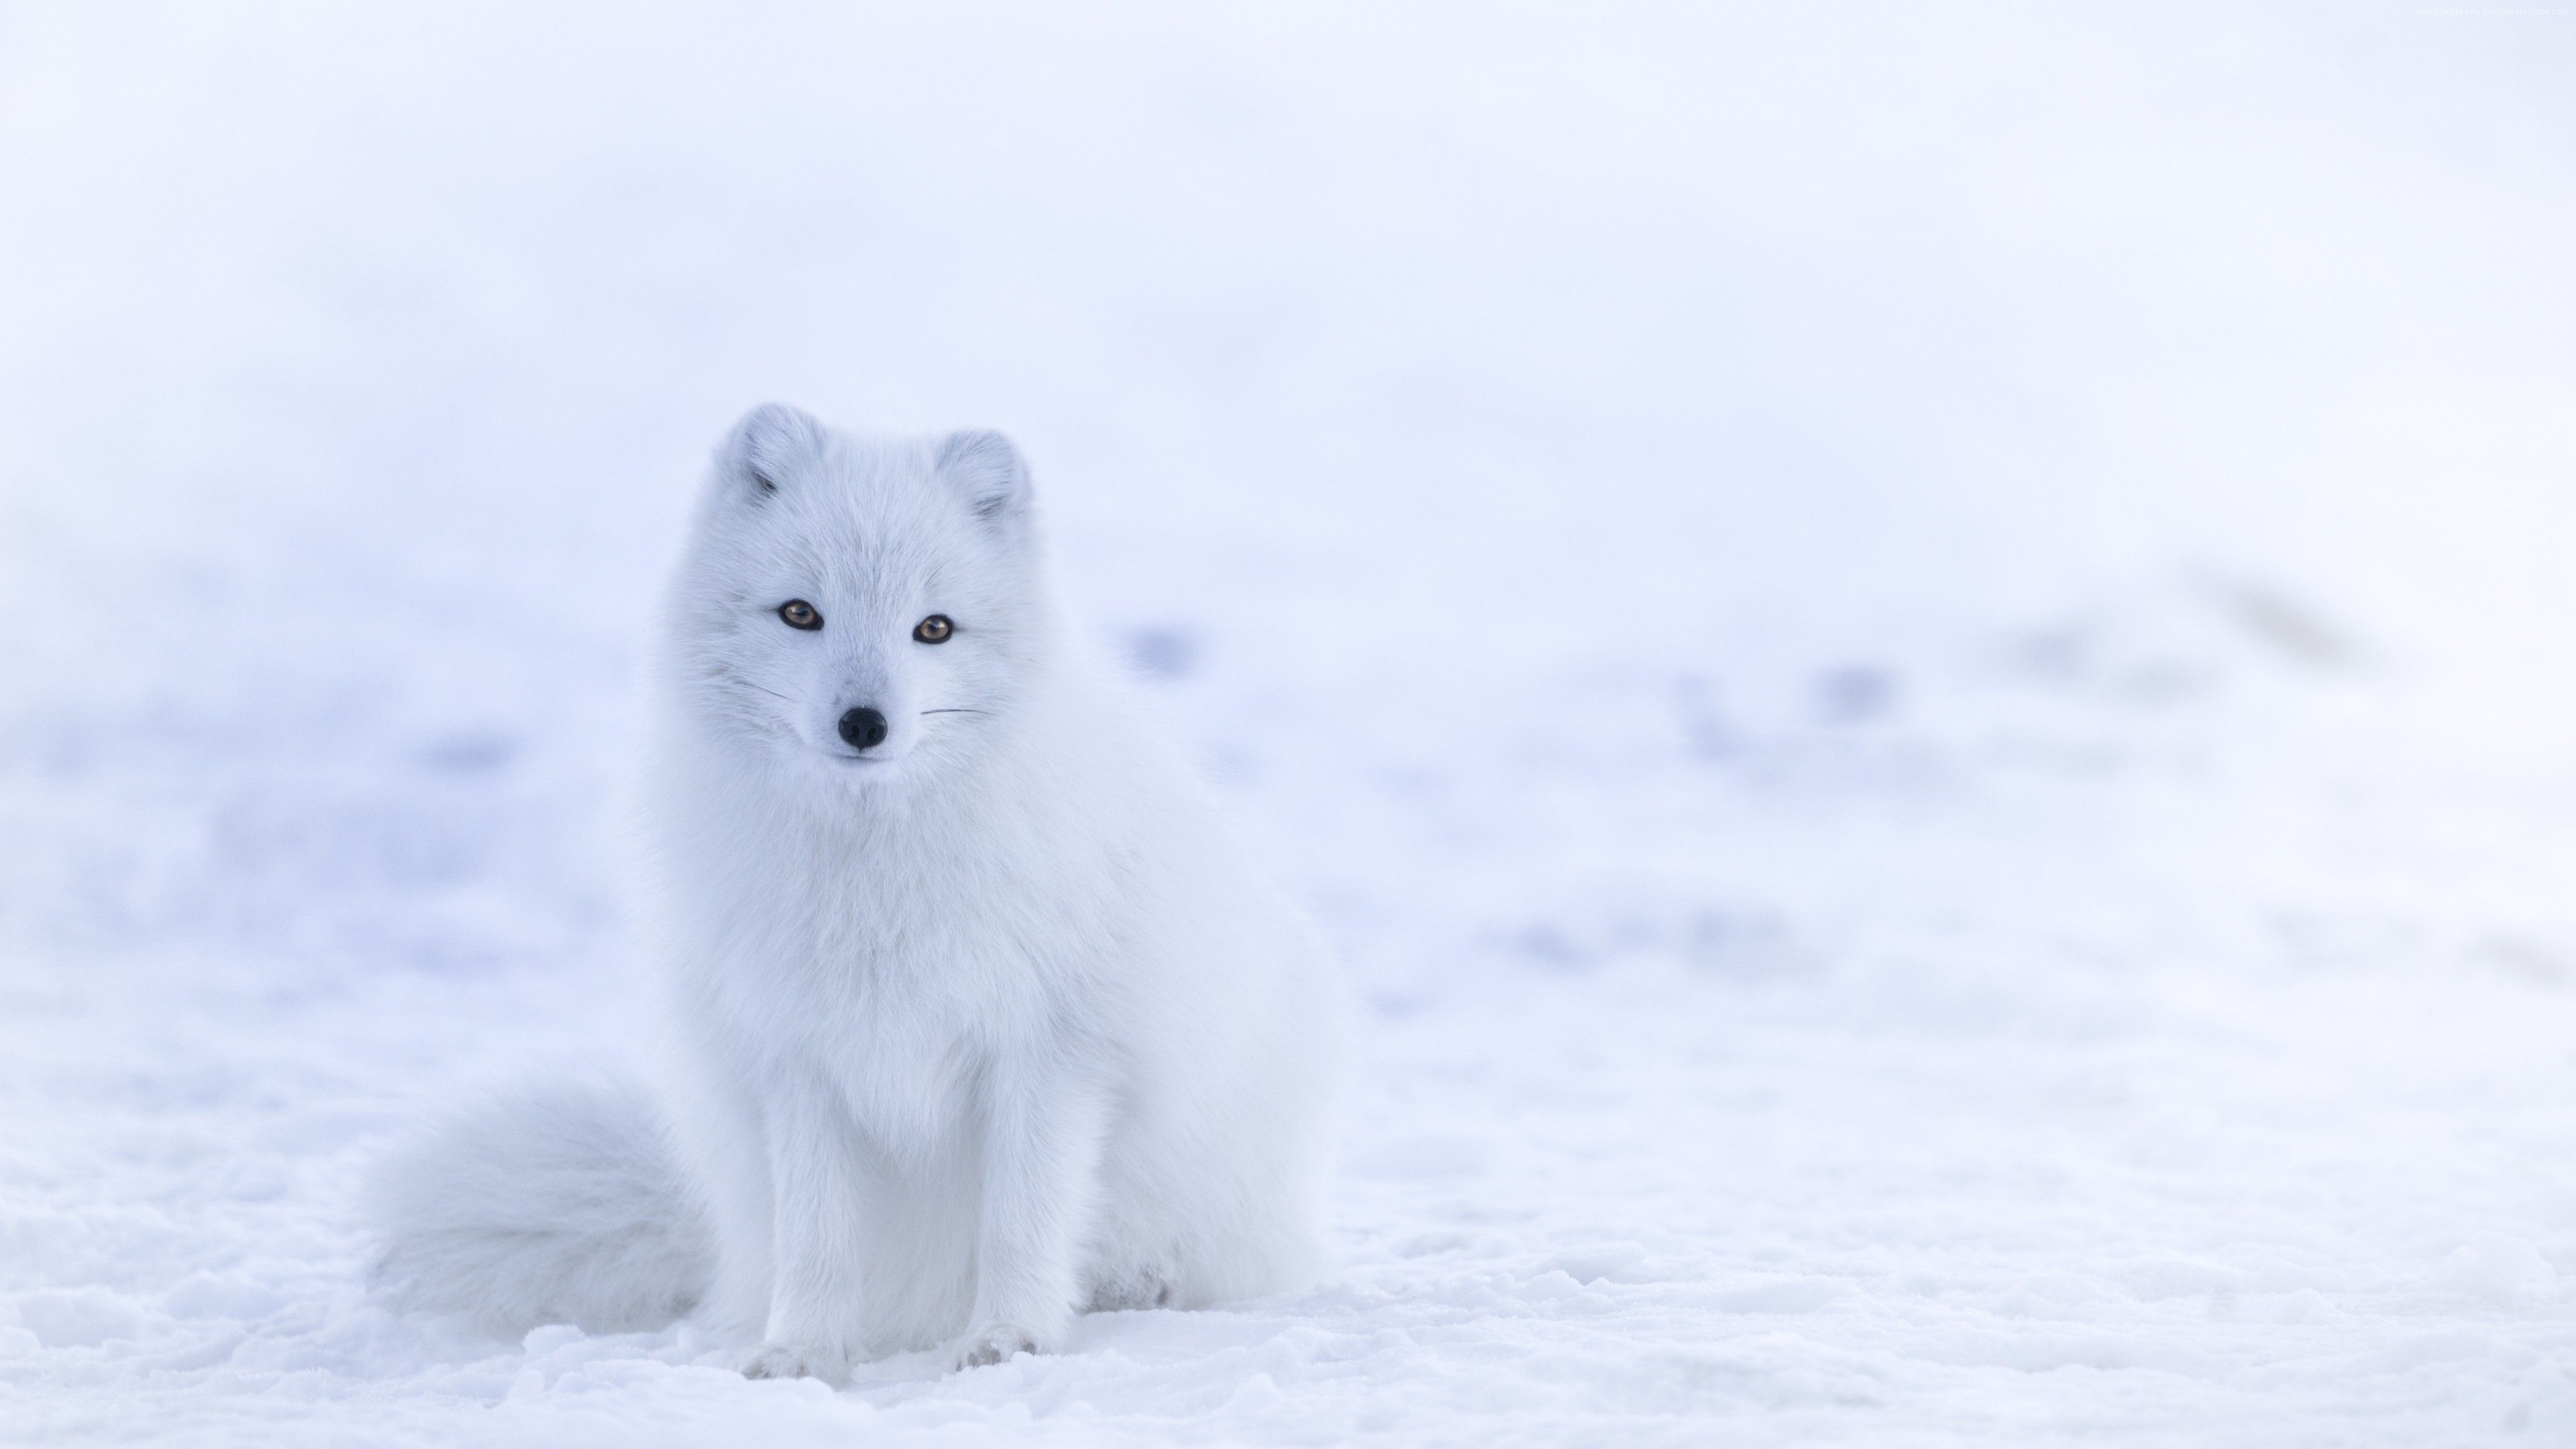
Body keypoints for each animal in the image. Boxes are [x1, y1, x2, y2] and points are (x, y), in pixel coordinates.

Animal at [369, 405, 1343, 1382]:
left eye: (935, 629)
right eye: (802, 613)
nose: (864, 724)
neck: (874, 875)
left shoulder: (1052, 1050)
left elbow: (1022, 1220)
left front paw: (1010, 1338)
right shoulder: (798, 1058)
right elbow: (818, 1238)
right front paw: (801, 1352)